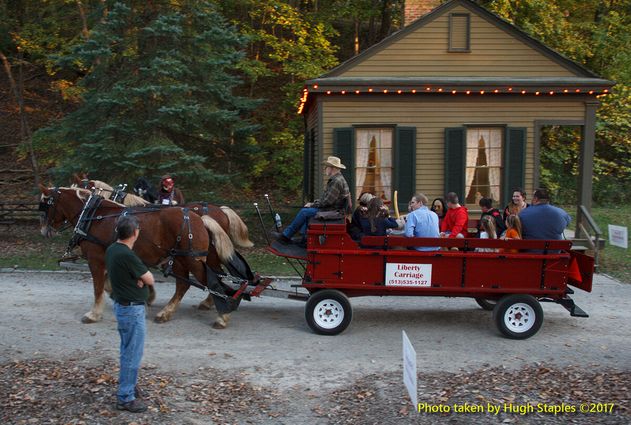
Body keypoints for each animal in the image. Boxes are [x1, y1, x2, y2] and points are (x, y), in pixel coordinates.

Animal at [40, 186, 237, 328]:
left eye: (45, 205)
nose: (43, 231)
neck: (94, 216)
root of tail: (200, 218)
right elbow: (109, 282)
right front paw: (144, 295)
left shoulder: (96, 259)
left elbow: (98, 286)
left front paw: (94, 313)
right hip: (180, 259)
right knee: (186, 284)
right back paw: (167, 312)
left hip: (193, 259)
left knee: (212, 282)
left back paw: (223, 315)